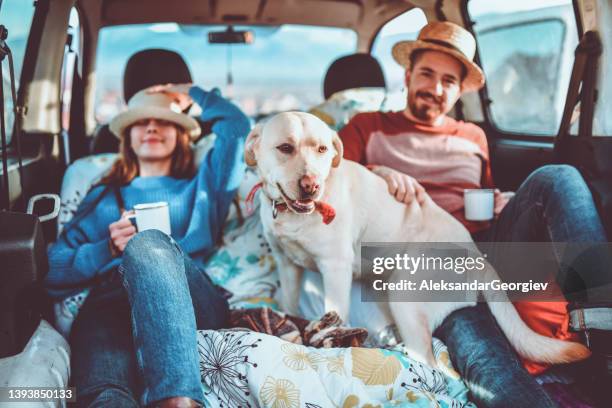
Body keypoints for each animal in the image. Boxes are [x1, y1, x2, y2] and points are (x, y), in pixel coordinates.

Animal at [246, 111, 592, 366]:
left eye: (322, 149)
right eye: (285, 148)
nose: (311, 186)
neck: (293, 215)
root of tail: (478, 257)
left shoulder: (335, 269)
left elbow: (334, 314)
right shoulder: (287, 265)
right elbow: (291, 304)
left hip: (403, 293)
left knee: (428, 361)